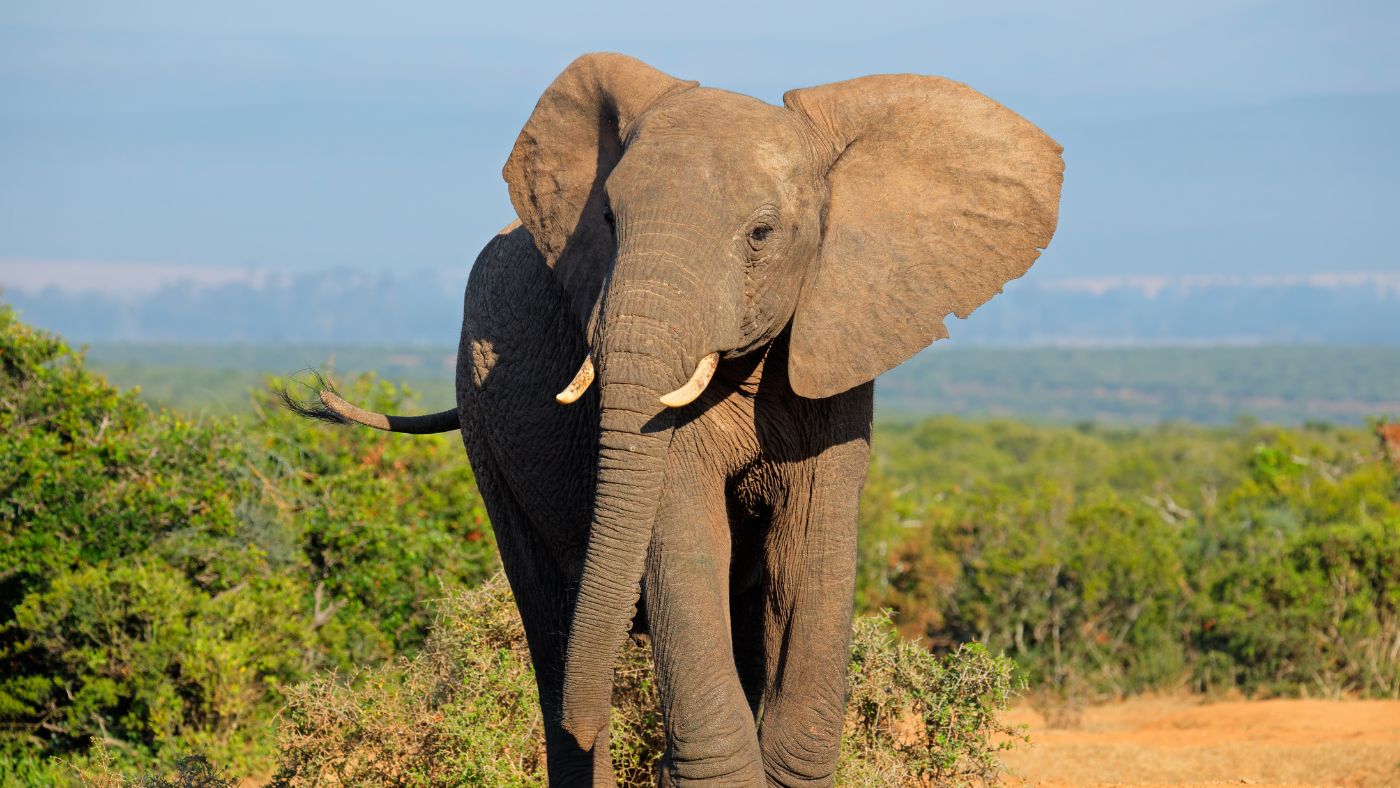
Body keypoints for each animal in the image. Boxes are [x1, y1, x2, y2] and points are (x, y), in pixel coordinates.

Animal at [288, 53, 1062, 785]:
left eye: (761, 233)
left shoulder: (838, 345)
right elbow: (684, 538)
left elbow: (808, 549)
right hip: (483, 422)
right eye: (607, 220)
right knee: (548, 619)